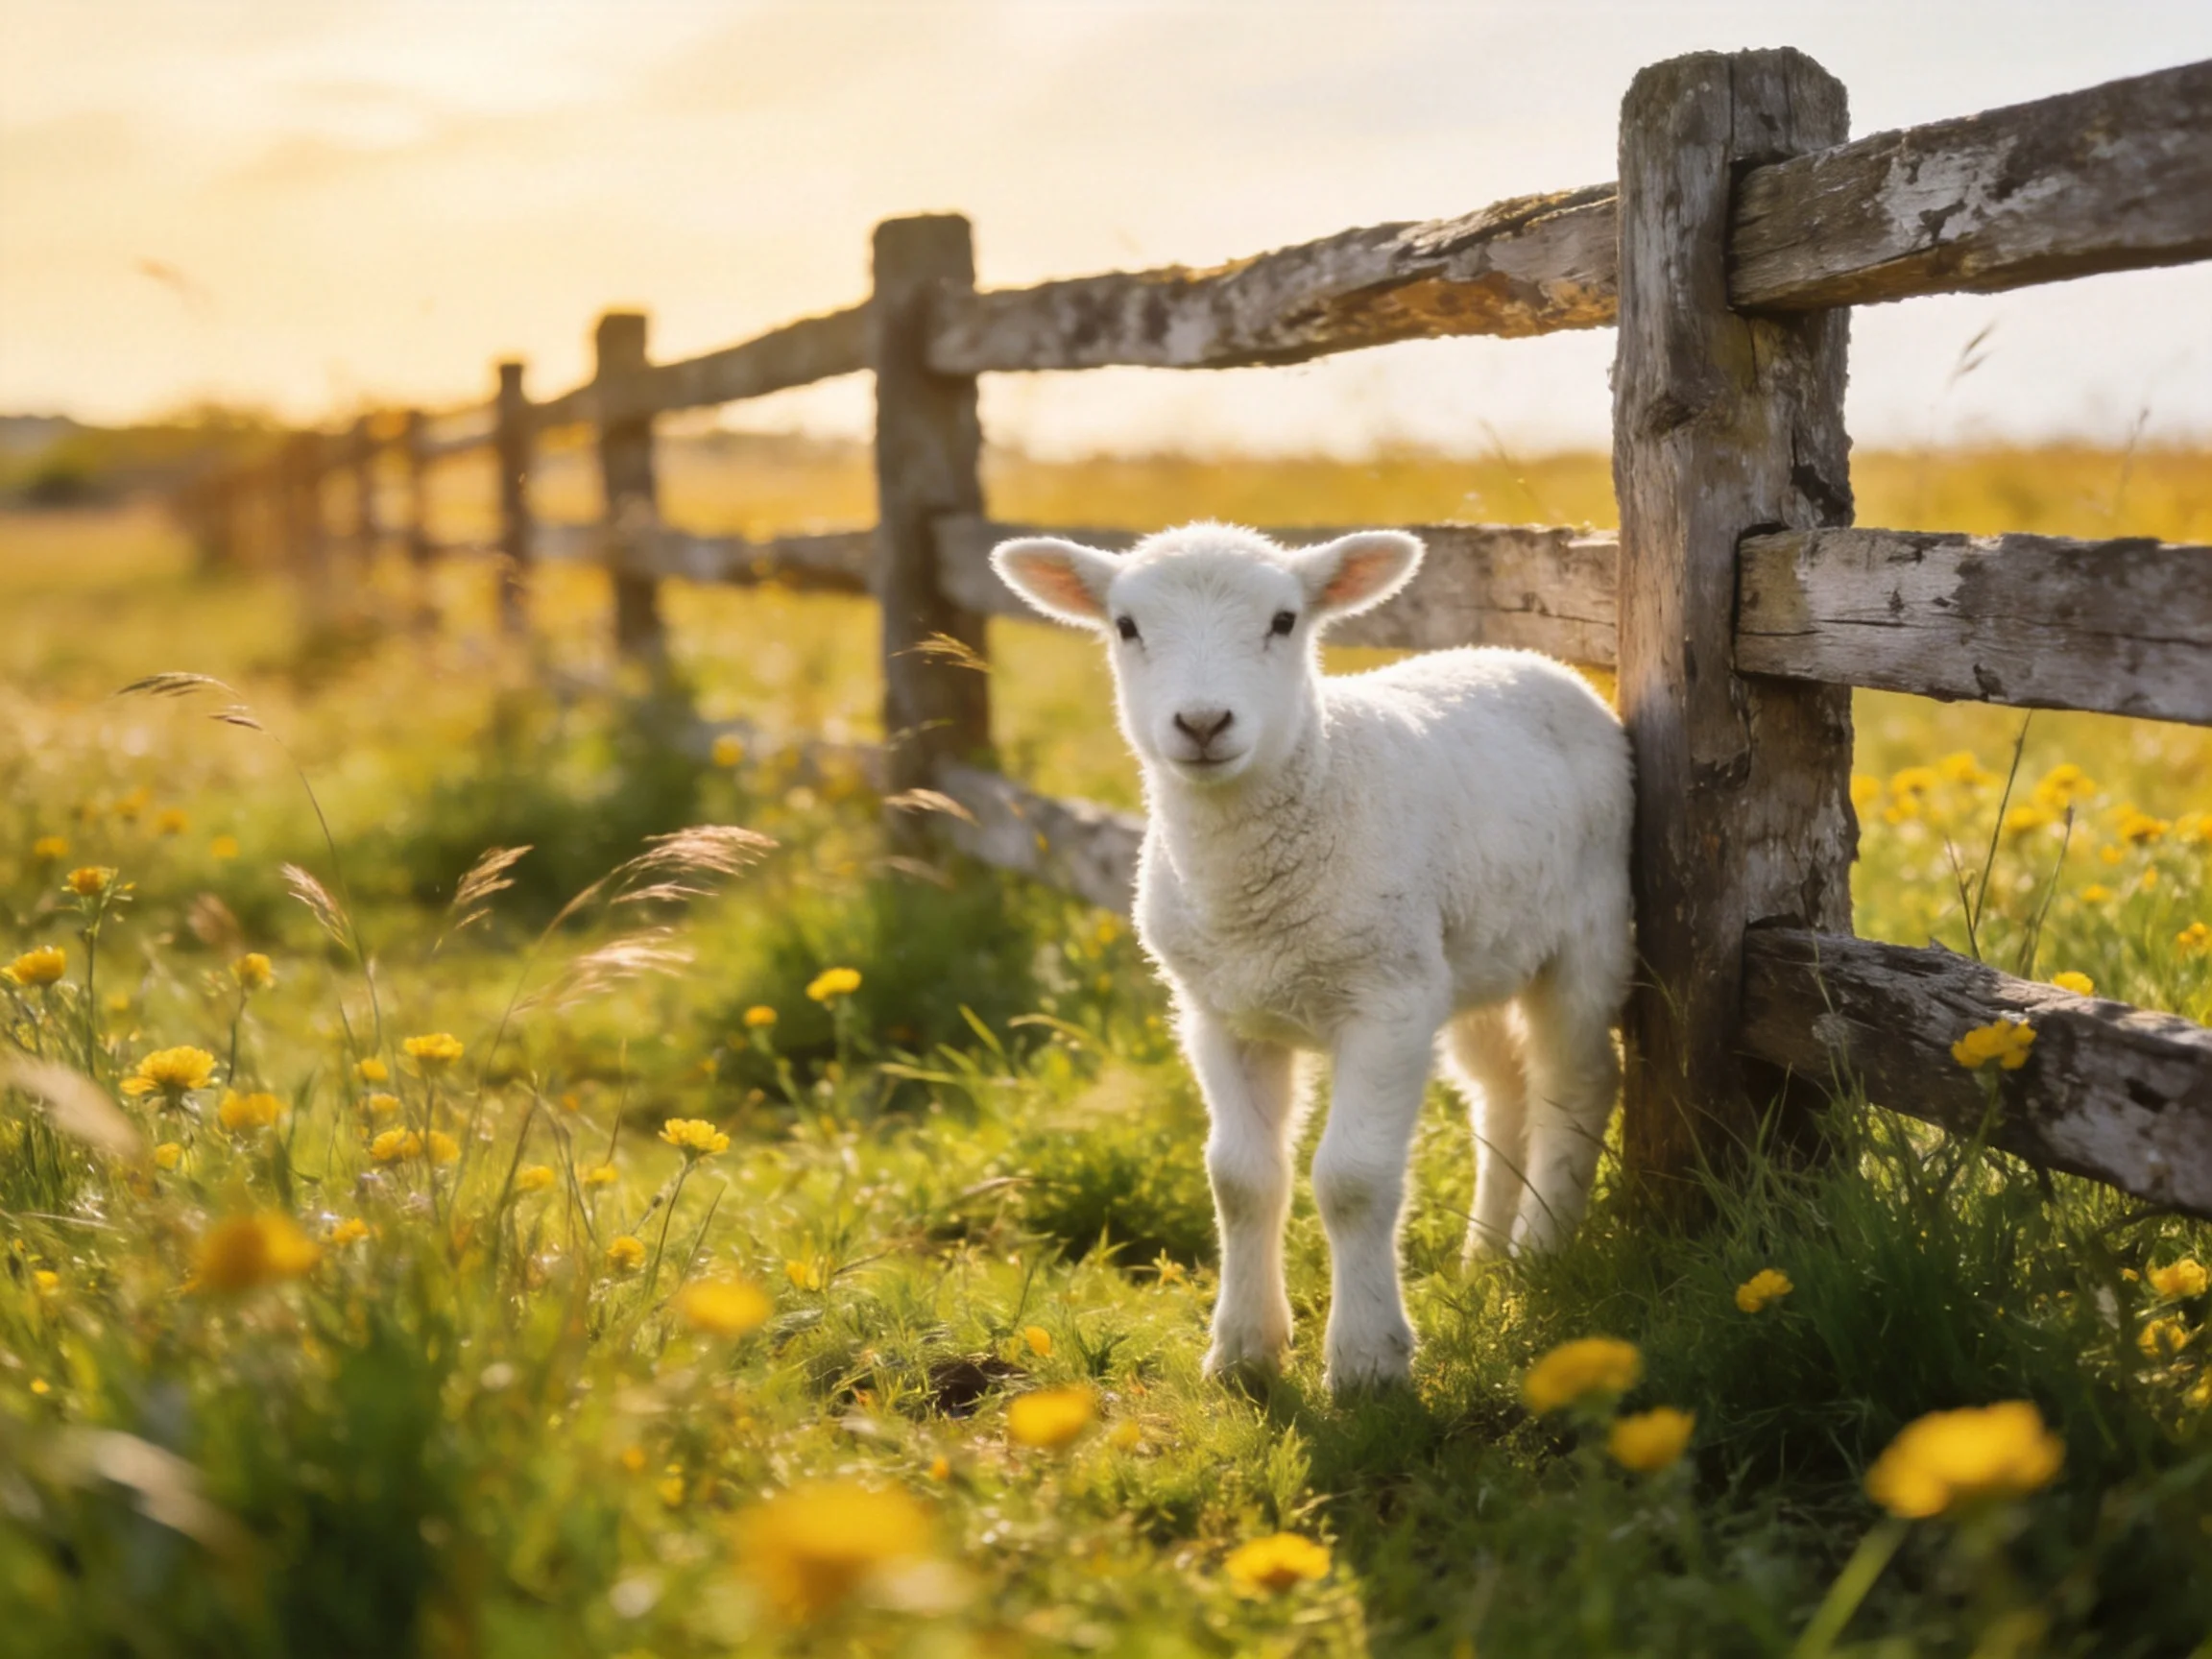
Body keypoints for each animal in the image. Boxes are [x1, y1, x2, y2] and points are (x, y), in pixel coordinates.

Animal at [991, 522, 1634, 1394]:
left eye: (1284, 620)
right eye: (1125, 626)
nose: (1202, 722)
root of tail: (1520, 655)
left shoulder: (1386, 1003)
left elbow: (1353, 1180)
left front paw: (1367, 1362)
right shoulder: (1219, 1013)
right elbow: (1240, 1179)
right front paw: (1243, 1351)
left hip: (1586, 932)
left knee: (1577, 1082)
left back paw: (1537, 1258)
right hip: (1470, 955)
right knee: (1504, 1091)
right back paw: (1485, 1261)